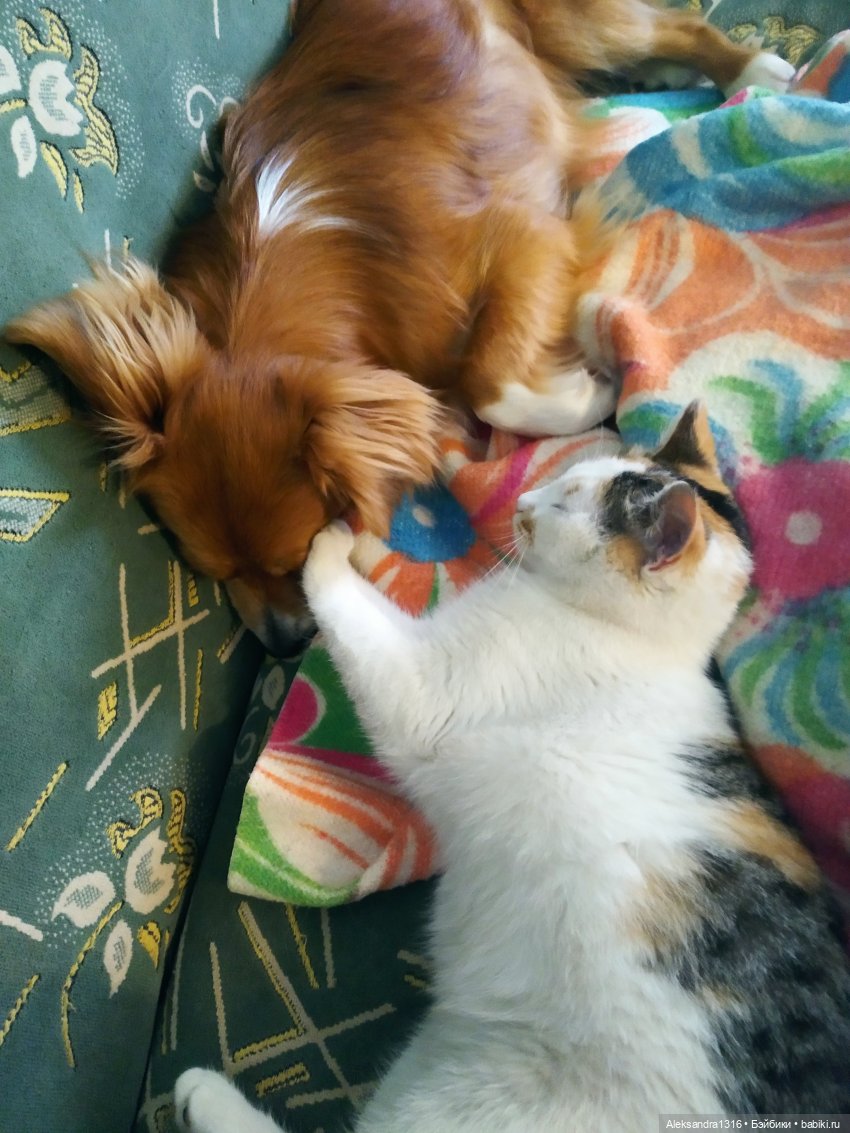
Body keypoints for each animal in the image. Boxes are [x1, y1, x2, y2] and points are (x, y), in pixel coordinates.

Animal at [5, 0, 793, 653]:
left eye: (295, 555)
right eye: (212, 570)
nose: (285, 643)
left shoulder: (524, 238)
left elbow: (489, 380)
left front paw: (590, 393)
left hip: (575, 21)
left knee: (671, 25)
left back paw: (749, 68)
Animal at [175, 402, 850, 1133]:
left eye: (563, 501)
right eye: (565, 478)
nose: (524, 500)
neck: (643, 642)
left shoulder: (425, 689)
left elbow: (350, 607)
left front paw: (332, 538)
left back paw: (201, 1095)